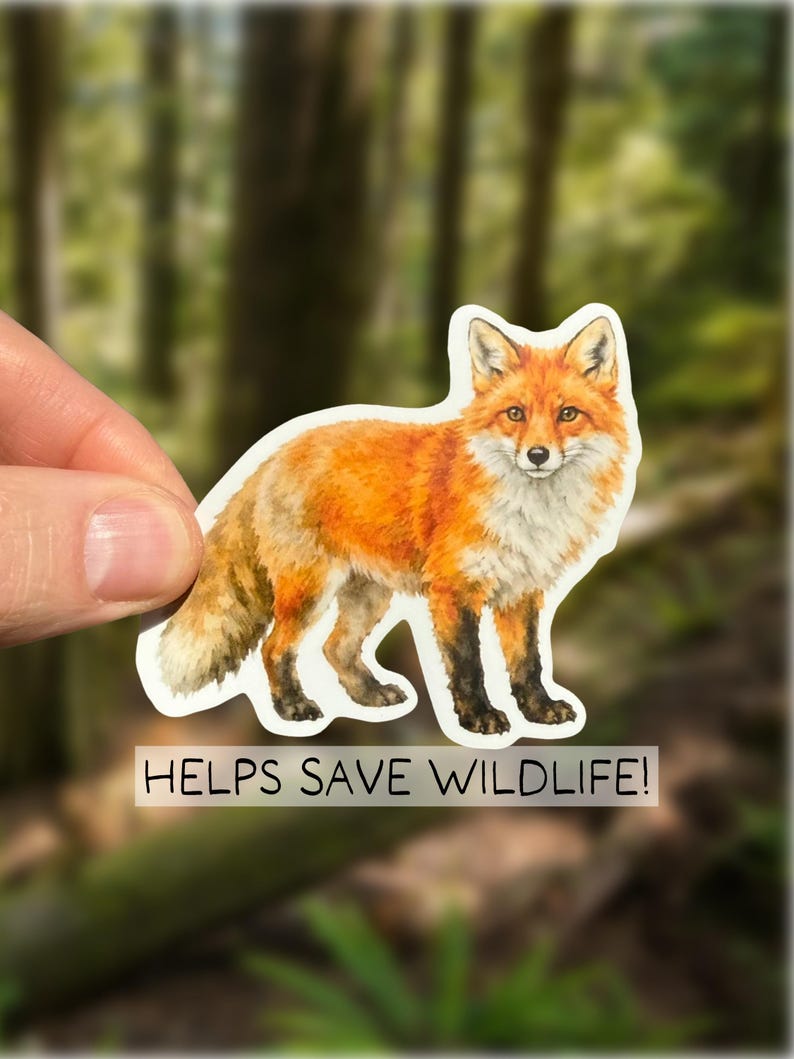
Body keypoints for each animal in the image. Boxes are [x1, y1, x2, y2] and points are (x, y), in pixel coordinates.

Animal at [150, 305, 639, 740]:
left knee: (335, 648)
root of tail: (272, 455)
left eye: (567, 414)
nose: (538, 455)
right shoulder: (453, 588)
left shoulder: (521, 590)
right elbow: (469, 664)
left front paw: (538, 709)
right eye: (515, 414)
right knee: (275, 648)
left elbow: (528, 662)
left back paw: (368, 695)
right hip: (310, 591)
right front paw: (478, 718)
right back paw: (292, 707)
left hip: (369, 596)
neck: (529, 511)